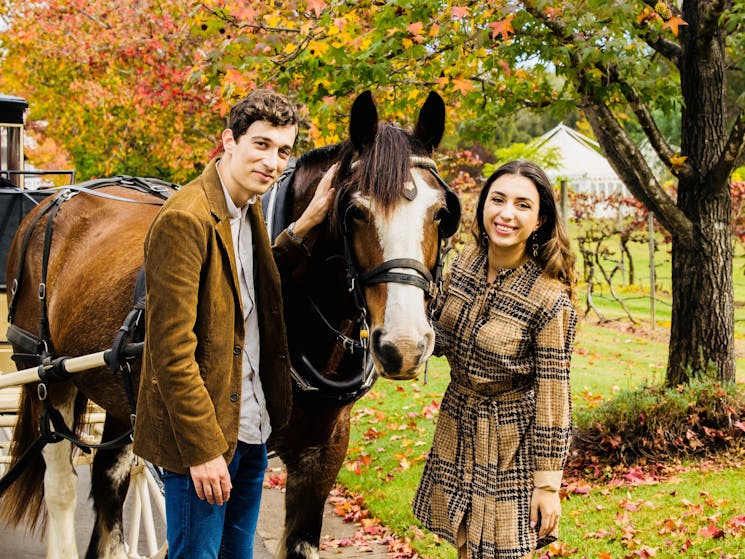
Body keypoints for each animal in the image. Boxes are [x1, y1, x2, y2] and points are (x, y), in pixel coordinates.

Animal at [0, 88, 460, 559]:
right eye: (354, 211)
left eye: (441, 213)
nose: (403, 346)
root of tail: (55, 200)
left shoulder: (324, 453)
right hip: (43, 372)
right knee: (60, 483)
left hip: (123, 391)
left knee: (111, 476)